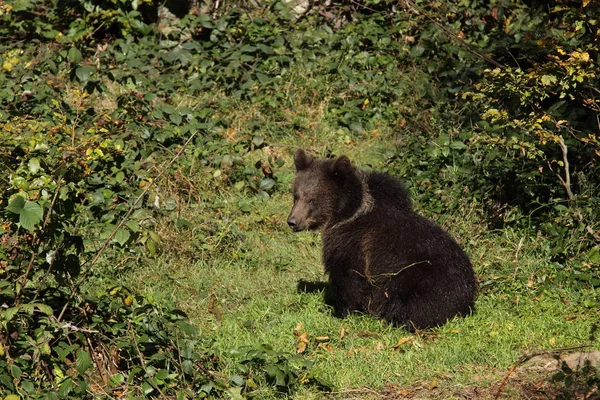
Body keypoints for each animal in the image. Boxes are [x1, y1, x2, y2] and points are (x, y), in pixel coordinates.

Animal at [288, 148, 478, 330]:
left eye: (312, 199)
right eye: (296, 195)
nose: (292, 221)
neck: (346, 213)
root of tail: (467, 296)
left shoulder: (352, 242)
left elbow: (347, 277)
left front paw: (341, 312)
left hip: (420, 277)